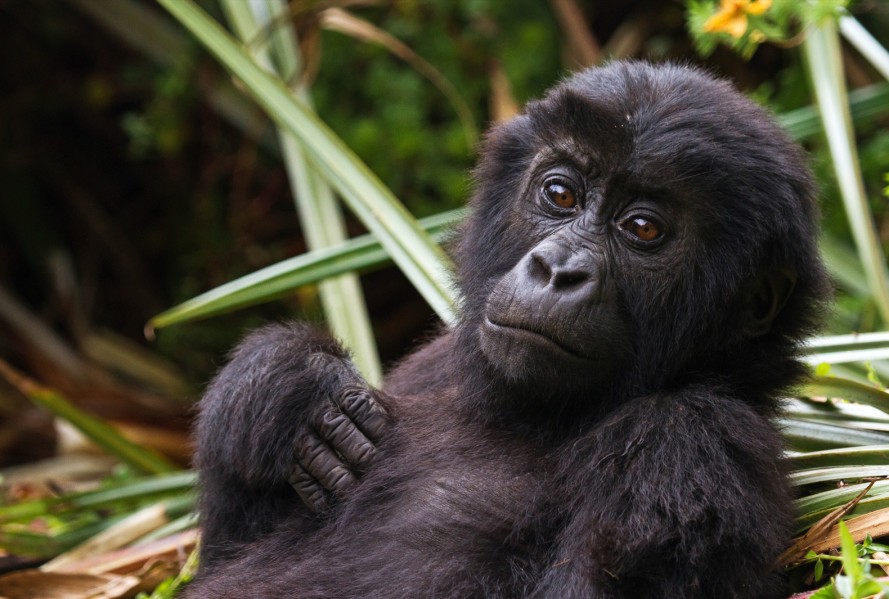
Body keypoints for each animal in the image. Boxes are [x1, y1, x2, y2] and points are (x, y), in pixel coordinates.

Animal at [186, 62, 824, 599]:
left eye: (643, 228)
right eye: (560, 193)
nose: (558, 270)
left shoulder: (691, 446)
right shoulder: (433, 363)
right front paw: (284, 379)